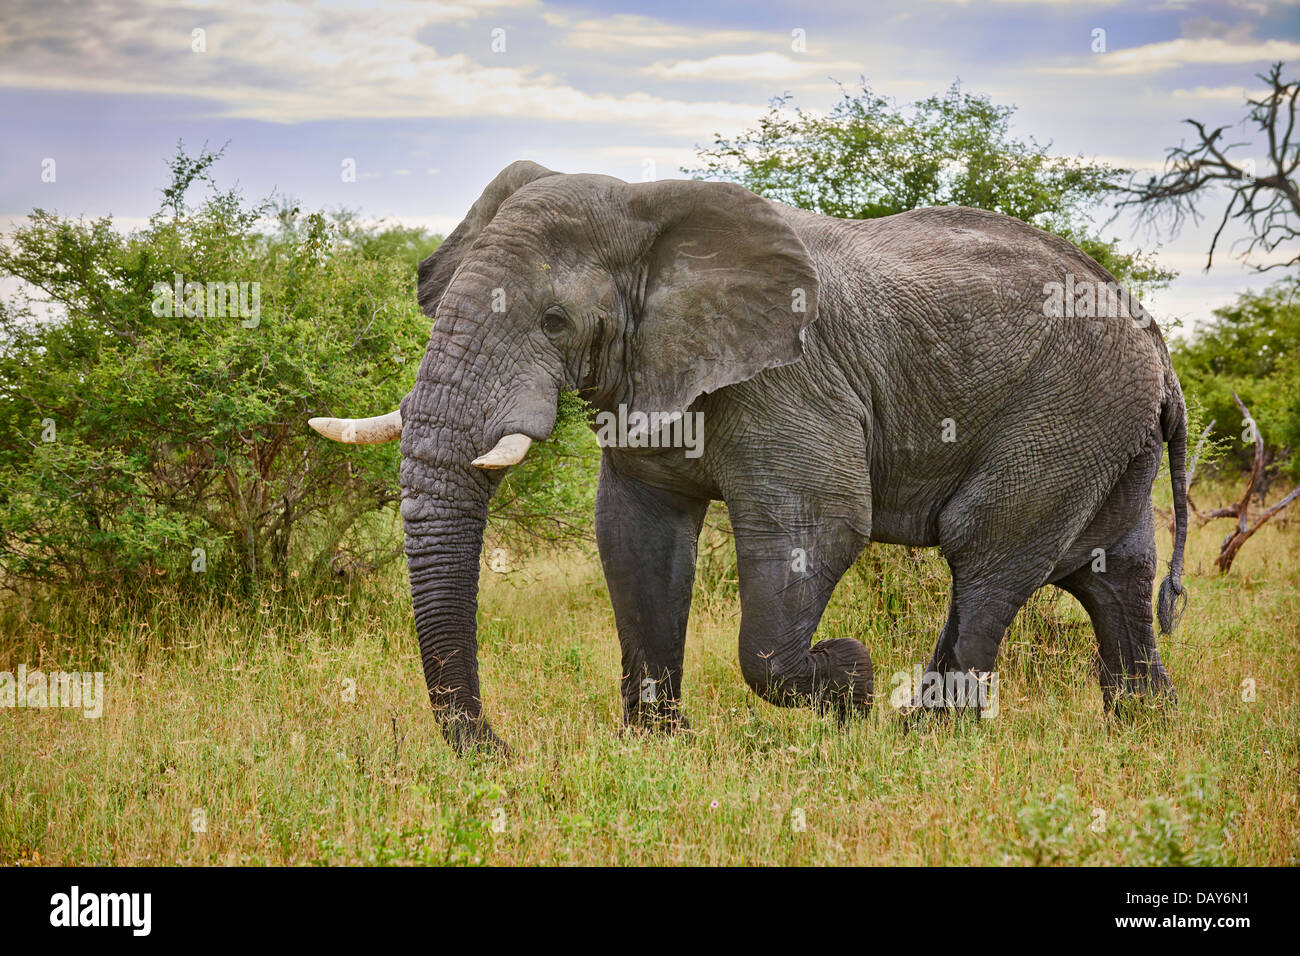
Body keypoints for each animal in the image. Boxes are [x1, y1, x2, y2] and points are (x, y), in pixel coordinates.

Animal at [309, 162, 1185, 754]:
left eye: (554, 321)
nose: (499, 754)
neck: (642, 205)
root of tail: (1154, 336)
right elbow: (634, 534)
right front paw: (656, 748)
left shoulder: (789, 379)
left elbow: (819, 530)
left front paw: (851, 683)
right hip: (1109, 425)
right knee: (1111, 570)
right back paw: (1143, 724)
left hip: (1068, 410)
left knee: (991, 550)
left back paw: (923, 737)